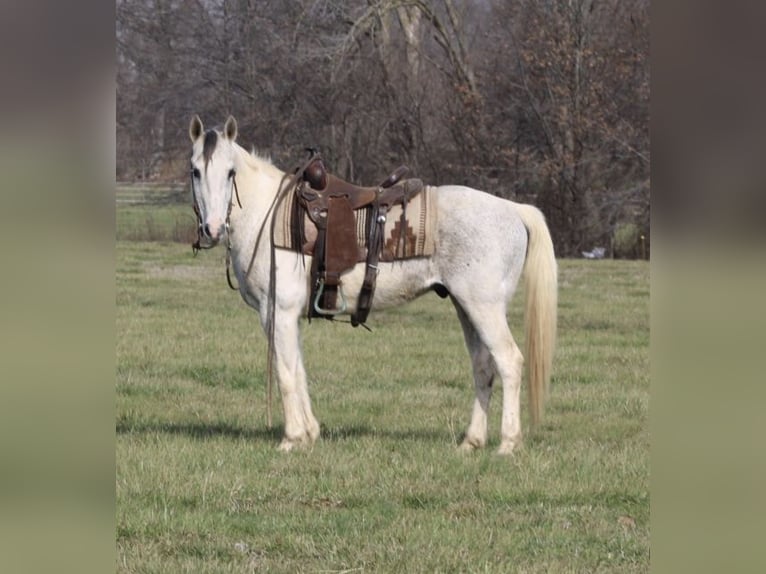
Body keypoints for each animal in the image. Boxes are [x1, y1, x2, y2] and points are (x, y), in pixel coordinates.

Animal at [188, 115, 557, 455]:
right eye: (195, 171)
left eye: (230, 172)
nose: (213, 229)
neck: (270, 218)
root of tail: (513, 209)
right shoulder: (284, 316)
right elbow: (299, 369)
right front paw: (310, 433)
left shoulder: (278, 311)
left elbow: (286, 372)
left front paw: (292, 439)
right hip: (466, 306)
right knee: (483, 366)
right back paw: (471, 442)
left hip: (484, 307)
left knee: (509, 362)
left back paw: (508, 443)